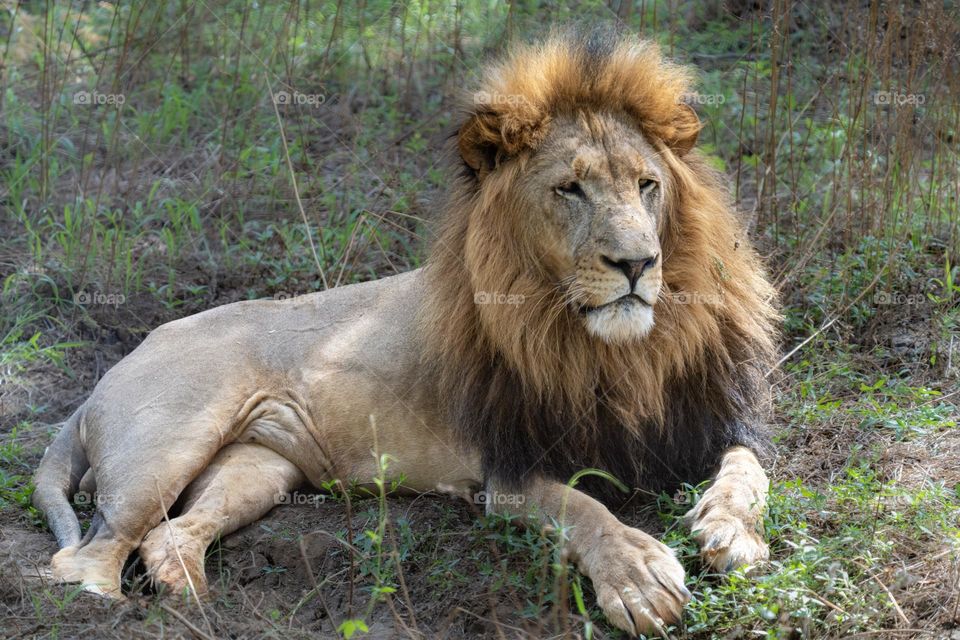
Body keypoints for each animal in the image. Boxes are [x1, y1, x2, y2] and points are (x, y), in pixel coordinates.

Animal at [33, 28, 779, 636]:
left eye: (648, 185)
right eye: (570, 190)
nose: (638, 264)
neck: (609, 349)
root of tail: (121, 361)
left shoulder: (713, 421)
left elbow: (749, 474)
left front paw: (730, 534)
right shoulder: (508, 467)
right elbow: (586, 509)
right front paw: (639, 575)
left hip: (260, 468)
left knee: (168, 538)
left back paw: (197, 604)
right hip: (169, 443)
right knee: (85, 556)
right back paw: (110, 607)